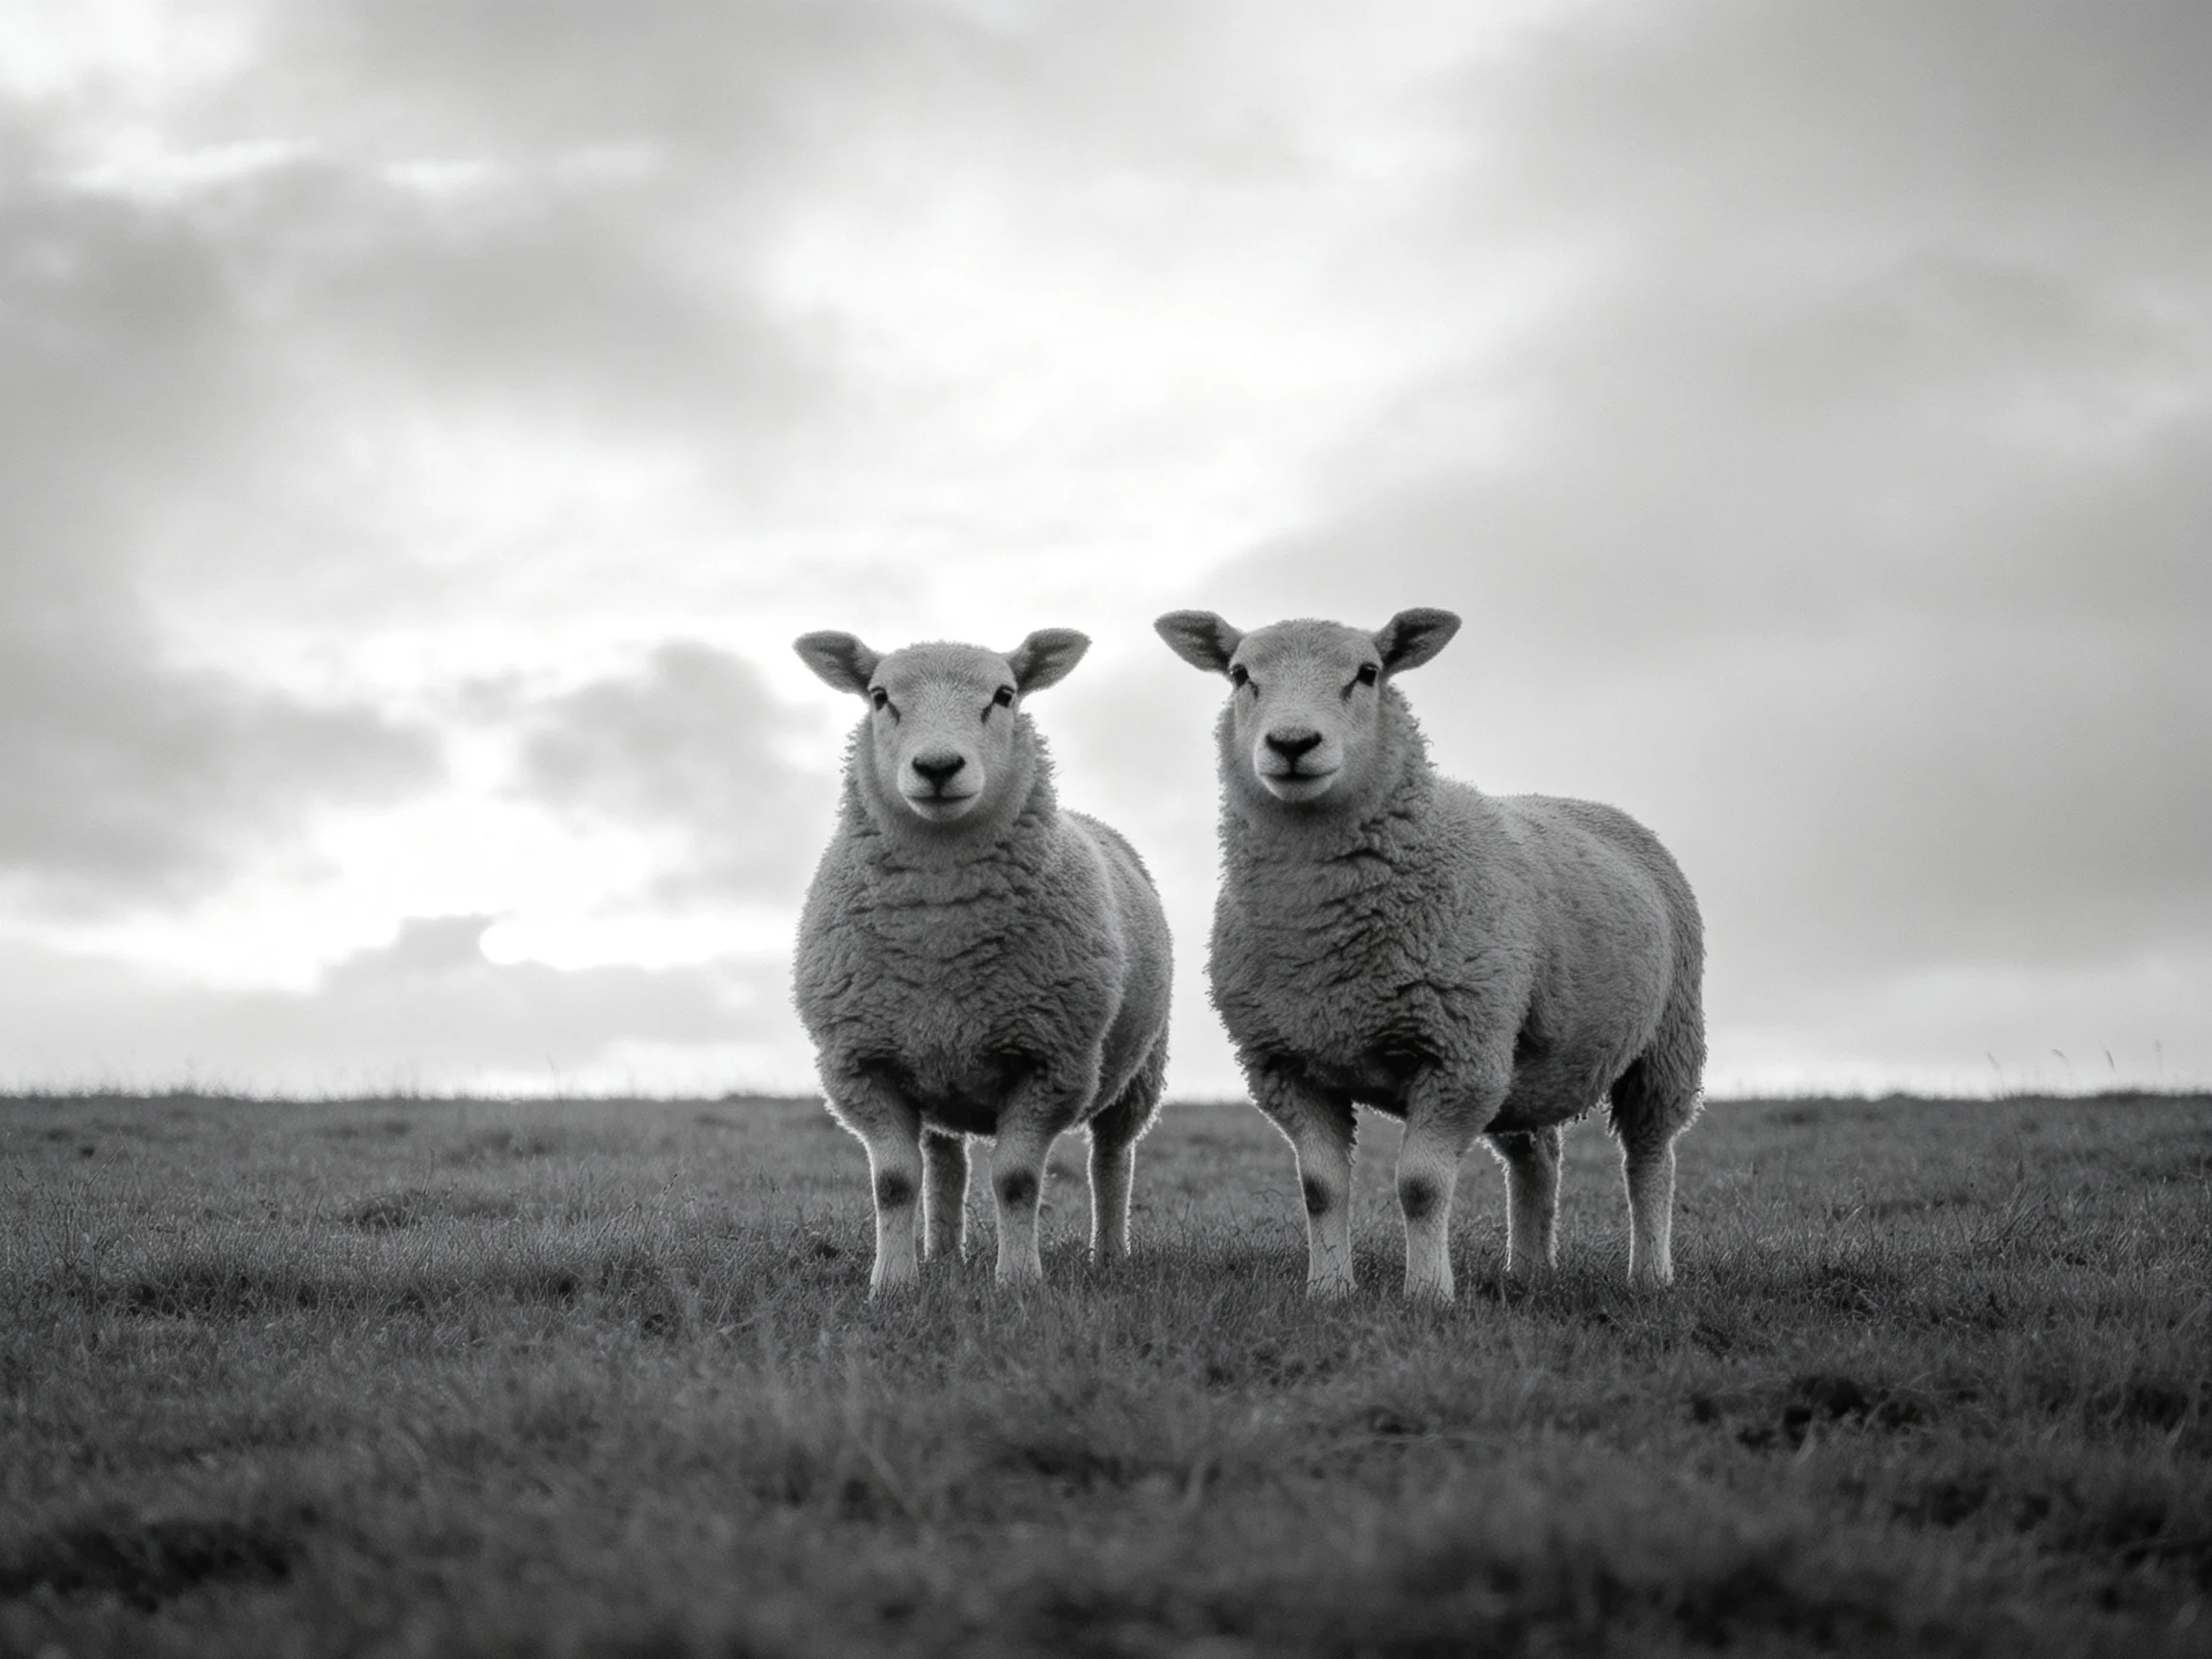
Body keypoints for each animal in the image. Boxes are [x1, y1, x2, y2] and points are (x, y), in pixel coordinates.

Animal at [791, 628, 1173, 1295]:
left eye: (1005, 695)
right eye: (879, 697)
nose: (938, 768)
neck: (942, 933)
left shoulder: (1050, 1063)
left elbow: (1017, 1181)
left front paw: (1018, 1282)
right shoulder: (861, 1065)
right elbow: (895, 1183)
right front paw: (892, 1284)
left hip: (1139, 1073)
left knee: (1112, 1160)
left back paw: (1109, 1254)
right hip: (933, 1068)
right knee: (945, 1164)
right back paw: (943, 1255)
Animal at [1154, 608, 1704, 1302]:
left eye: (1368, 673)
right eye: (1239, 675)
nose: (1293, 743)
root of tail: (1594, 807)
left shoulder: (1457, 1058)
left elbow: (1420, 1185)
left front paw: (1427, 1295)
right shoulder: (1287, 1064)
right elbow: (1319, 1188)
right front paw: (1328, 1290)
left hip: (1665, 1041)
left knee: (1650, 1157)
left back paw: (1651, 1274)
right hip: (1521, 1062)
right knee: (1537, 1158)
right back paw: (1528, 1271)